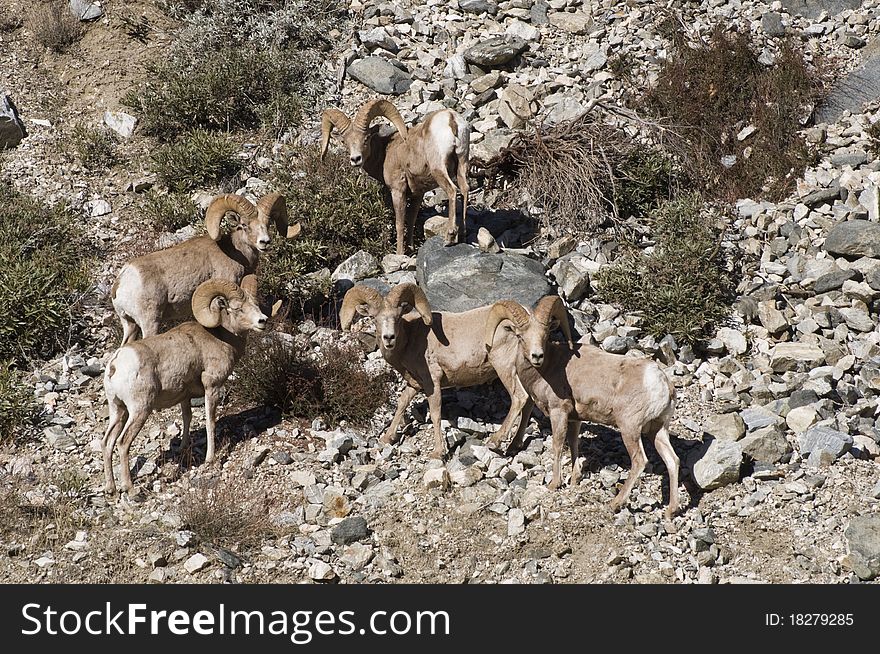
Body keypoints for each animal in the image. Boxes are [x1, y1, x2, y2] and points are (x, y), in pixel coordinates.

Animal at [101, 276, 266, 498]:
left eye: (255, 305)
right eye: (238, 308)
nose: (262, 321)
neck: (222, 338)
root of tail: (115, 365)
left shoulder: (185, 396)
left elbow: (187, 418)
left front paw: (182, 448)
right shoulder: (212, 387)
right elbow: (210, 422)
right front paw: (210, 459)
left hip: (118, 410)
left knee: (107, 442)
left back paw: (111, 488)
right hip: (139, 410)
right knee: (122, 442)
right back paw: (131, 489)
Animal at [111, 192, 290, 346]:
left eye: (268, 224)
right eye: (244, 225)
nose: (264, 242)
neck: (234, 253)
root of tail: (122, 281)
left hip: (130, 325)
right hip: (150, 322)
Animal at [316, 97, 468, 256]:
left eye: (366, 138)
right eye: (344, 142)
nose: (356, 159)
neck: (385, 153)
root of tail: (451, 119)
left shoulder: (397, 191)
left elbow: (399, 224)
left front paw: (400, 253)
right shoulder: (418, 194)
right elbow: (411, 220)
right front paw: (410, 249)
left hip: (439, 169)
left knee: (452, 190)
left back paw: (449, 237)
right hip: (462, 163)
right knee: (464, 190)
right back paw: (463, 234)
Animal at [340, 284, 524, 462]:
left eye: (398, 317)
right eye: (374, 318)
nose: (389, 338)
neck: (410, 341)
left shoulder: (432, 383)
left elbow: (435, 414)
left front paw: (438, 453)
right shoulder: (415, 384)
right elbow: (402, 403)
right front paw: (387, 438)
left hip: (505, 368)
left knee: (519, 398)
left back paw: (495, 441)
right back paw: (514, 446)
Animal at [482, 300, 680, 520]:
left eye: (545, 335)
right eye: (520, 336)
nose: (537, 356)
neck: (548, 368)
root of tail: (662, 383)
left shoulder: (558, 412)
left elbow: (558, 445)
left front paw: (554, 484)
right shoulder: (575, 418)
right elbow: (573, 443)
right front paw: (575, 479)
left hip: (630, 428)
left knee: (639, 461)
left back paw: (614, 504)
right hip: (658, 430)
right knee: (673, 461)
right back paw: (671, 511)